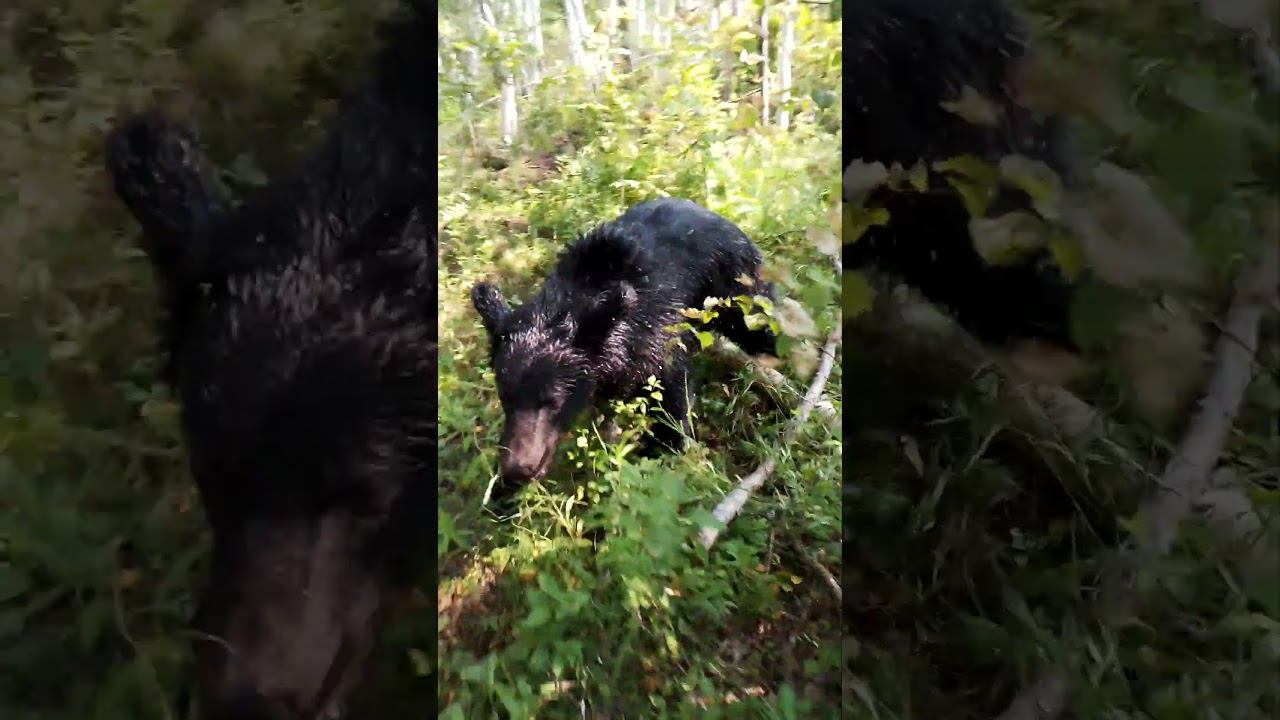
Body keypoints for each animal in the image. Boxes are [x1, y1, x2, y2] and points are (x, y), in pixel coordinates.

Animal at [471, 198, 778, 502]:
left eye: (554, 401)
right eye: (505, 396)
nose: (517, 470)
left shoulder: (661, 339)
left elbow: (673, 399)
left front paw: (665, 454)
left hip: (737, 288)